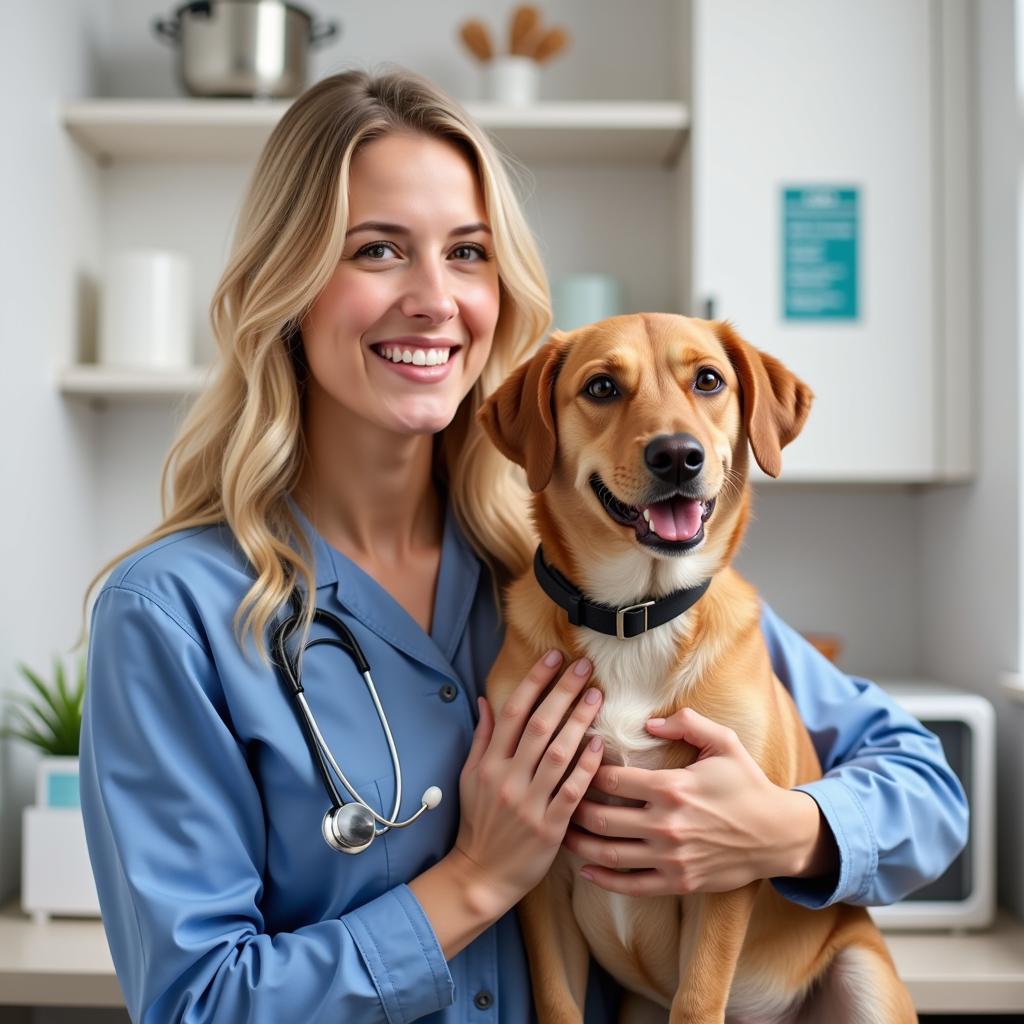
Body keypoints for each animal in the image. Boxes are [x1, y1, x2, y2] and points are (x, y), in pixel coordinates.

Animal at [475, 313, 917, 1024]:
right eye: (601, 387)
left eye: (708, 380)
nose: (677, 455)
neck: (636, 615)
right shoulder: (541, 875)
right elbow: (558, 1002)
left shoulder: (724, 865)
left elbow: (699, 999)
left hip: (865, 976)